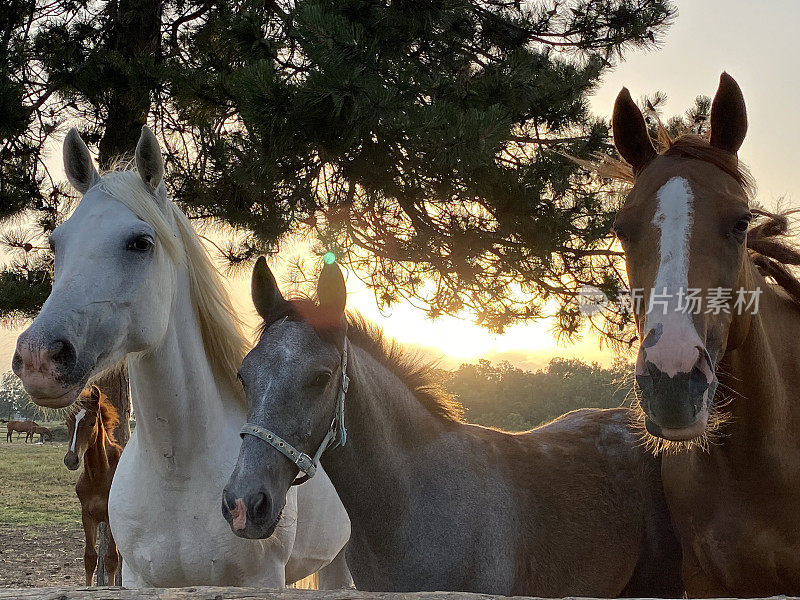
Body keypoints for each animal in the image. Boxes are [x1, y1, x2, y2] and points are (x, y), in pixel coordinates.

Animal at [64, 384, 121, 584]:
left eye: (91, 422)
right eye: (68, 423)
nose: (71, 460)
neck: (98, 476)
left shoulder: (111, 516)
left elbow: (111, 558)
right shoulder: (87, 515)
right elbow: (90, 558)